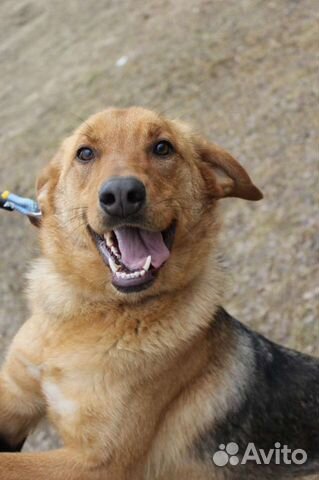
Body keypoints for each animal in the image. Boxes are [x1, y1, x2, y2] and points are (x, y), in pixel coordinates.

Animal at [0, 108, 319, 480]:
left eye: (162, 147)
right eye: (85, 153)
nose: (122, 195)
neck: (92, 311)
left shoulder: (95, 463)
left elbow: (10, 462)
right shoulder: (15, 395)